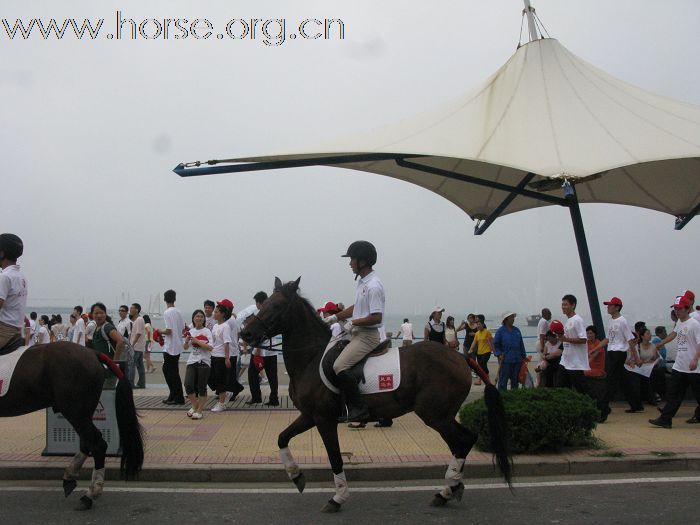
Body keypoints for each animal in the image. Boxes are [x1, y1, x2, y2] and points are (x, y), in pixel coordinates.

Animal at [0, 340, 144, 508]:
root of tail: (92, 352)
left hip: (75, 411)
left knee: (97, 444)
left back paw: (90, 494)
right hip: (81, 413)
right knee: (87, 442)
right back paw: (70, 477)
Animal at [242, 278, 516, 512]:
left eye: (275, 306)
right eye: (264, 303)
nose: (245, 334)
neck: (310, 358)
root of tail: (459, 356)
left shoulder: (324, 419)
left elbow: (335, 458)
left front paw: (338, 497)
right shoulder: (309, 416)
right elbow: (282, 438)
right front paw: (296, 475)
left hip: (435, 415)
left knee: (465, 440)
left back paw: (447, 489)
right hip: (442, 416)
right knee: (459, 444)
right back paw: (450, 488)